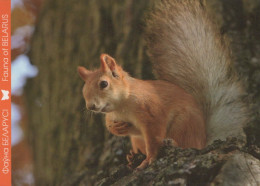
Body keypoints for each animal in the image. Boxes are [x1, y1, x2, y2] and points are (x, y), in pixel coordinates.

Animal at [76, 0, 248, 170]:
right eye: (83, 90)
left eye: (104, 83)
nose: (91, 106)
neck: (122, 106)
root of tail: (203, 138)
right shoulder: (114, 116)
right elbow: (113, 126)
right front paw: (116, 128)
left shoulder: (151, 113)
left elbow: (154, 137)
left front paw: (150, 159)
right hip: (139, 139)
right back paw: (132, 157)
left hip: (183, 125)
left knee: (185, 143)